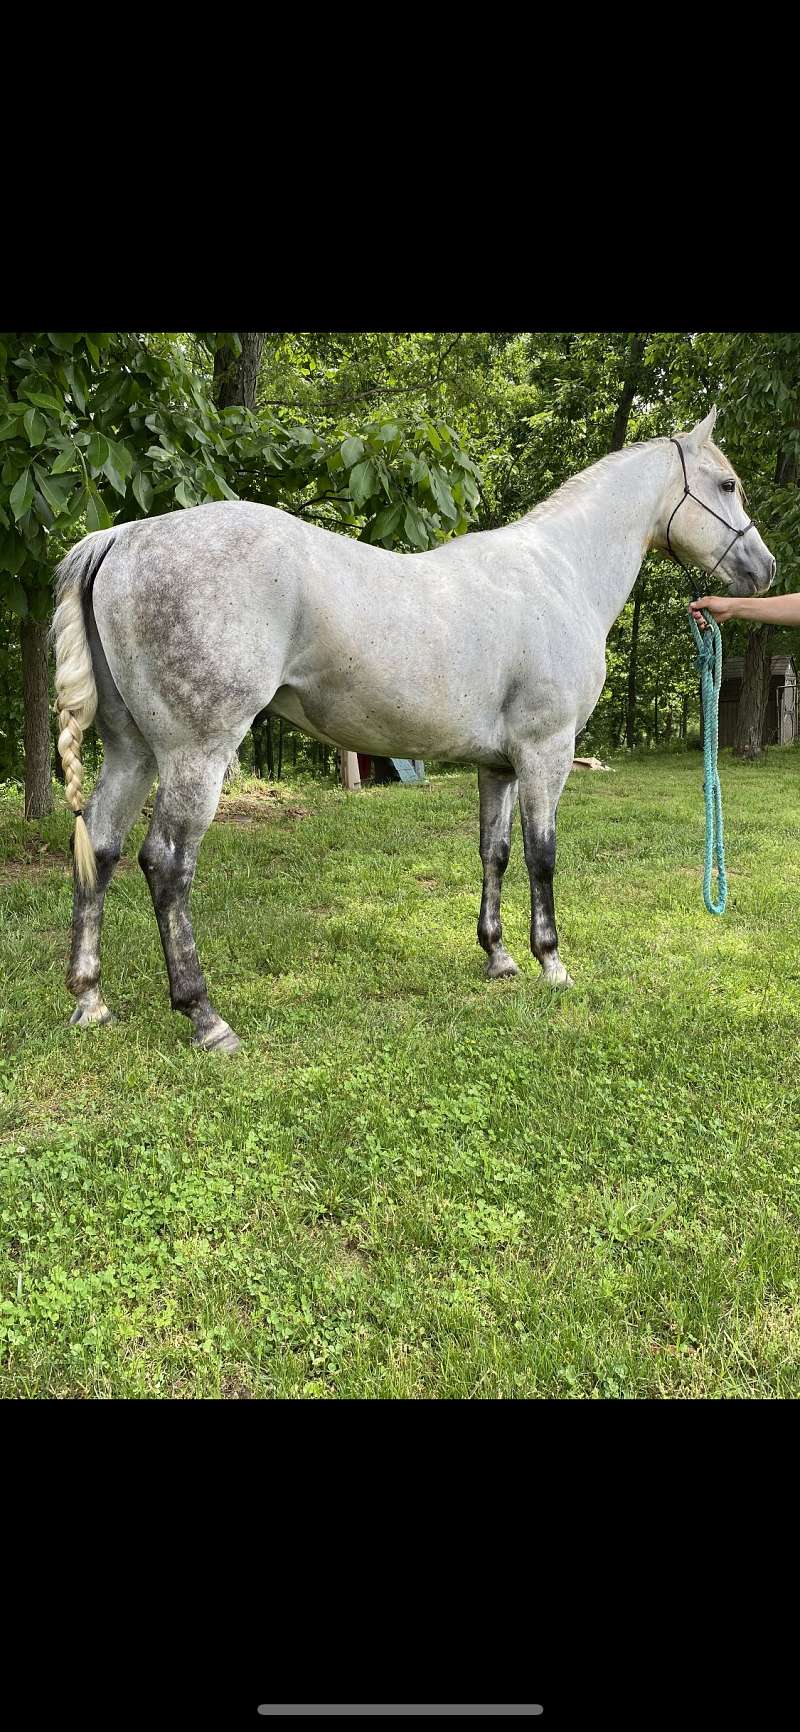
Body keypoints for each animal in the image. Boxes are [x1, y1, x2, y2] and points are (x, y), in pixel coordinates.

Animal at [51, 406, 776, 1053]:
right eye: (727, 484)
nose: (764, 569)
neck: (557, 571)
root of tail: (123, 538)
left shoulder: (499, 765)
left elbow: (494, 853)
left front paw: (498, 958)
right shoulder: (546, 752)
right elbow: (541, 855)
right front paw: (551, 963)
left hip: (134, 753)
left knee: (100, 848)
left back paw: (91, 1001)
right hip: (195, 754)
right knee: (166, 864)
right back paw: (204, 1016)